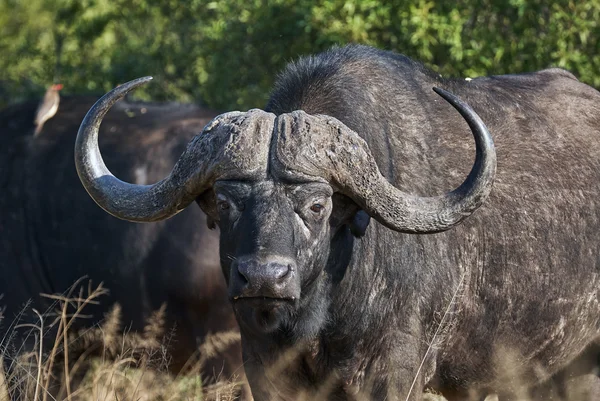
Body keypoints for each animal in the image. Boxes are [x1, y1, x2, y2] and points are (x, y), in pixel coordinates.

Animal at [75, 44, 600, 400]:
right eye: (225, 202)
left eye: (317, 205)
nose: (264, 277)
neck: (322, 315)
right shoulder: (264, 369)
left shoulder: (393, 375)